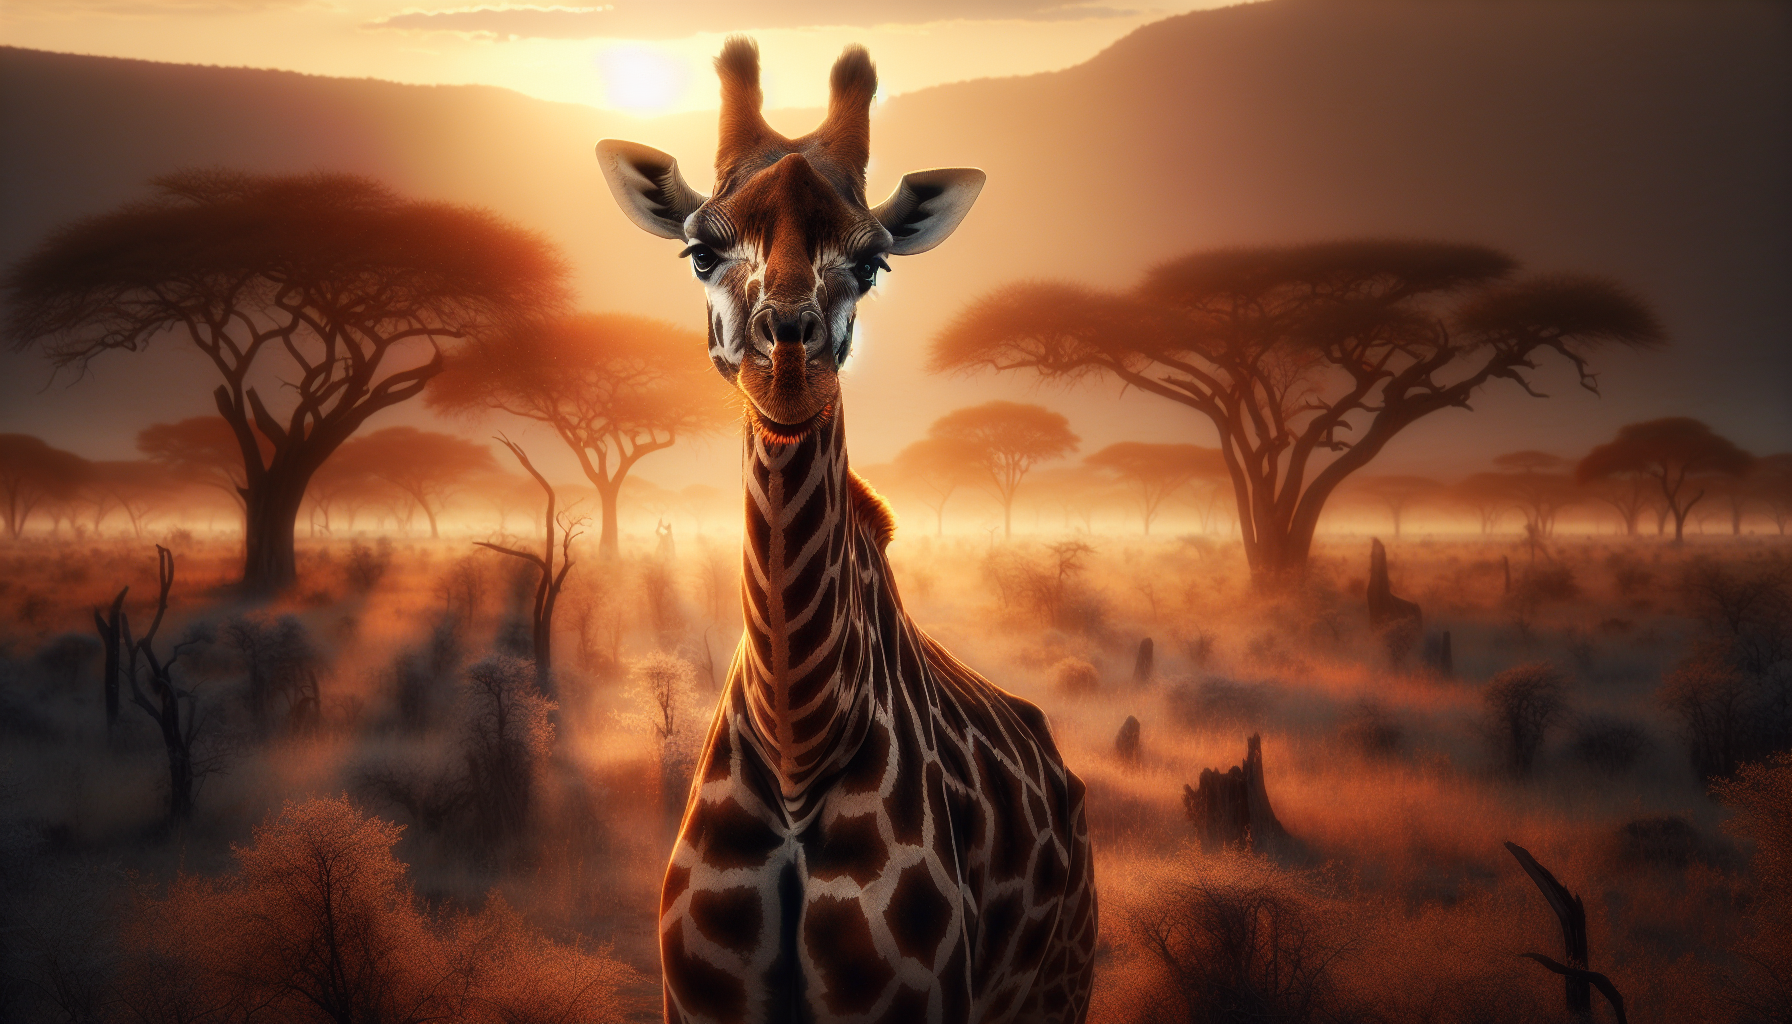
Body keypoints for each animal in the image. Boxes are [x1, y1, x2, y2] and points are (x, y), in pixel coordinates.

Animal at [596, 38, 1098, 1024]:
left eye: (874, 265)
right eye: (699, 251)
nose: (789, 370)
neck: (800, 739)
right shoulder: (697, 1001)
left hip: (1059, 990)